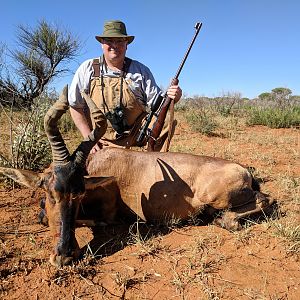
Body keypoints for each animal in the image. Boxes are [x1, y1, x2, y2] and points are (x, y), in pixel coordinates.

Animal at [0, 86, 272, 268]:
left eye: (79, 194)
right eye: (50, 193)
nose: (65, 256)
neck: (99, 166)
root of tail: (243, 169)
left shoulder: (108, 215)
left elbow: (89, 221)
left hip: (218, 197)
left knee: (265, 200)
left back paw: (225, 219)